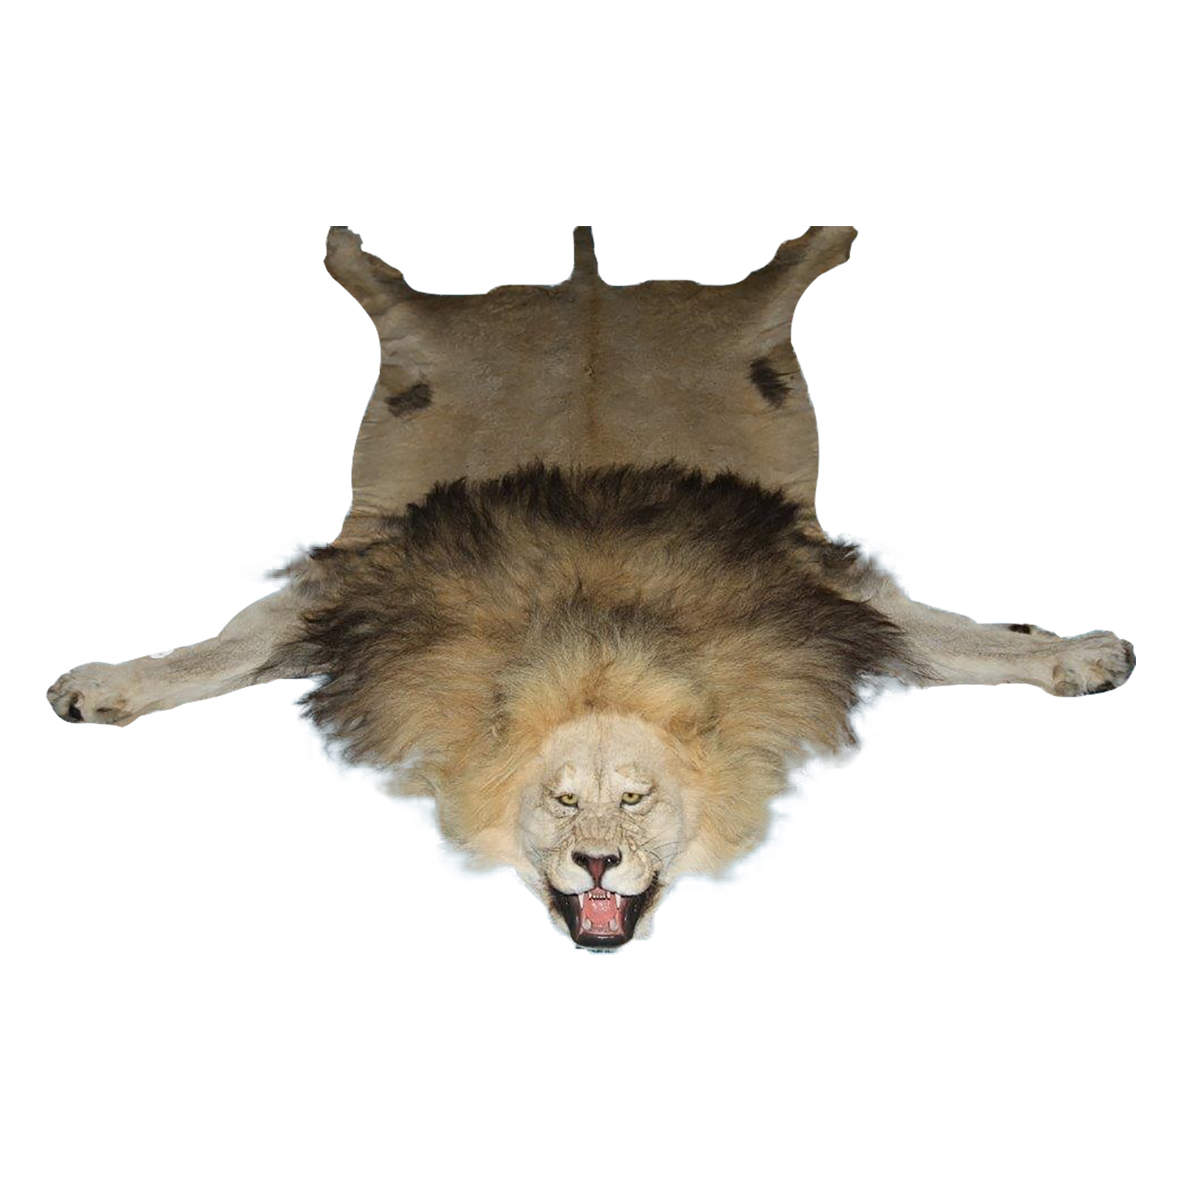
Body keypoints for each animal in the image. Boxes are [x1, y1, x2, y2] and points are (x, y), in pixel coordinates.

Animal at [47, 227, 1135, 948]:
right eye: (563, 801)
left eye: (635, 800)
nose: (598, 860)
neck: (598, 644)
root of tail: (588, 285)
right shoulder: (372, 583)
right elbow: (219, 648)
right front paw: (101, 685)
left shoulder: (805, 590)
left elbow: (964, 638)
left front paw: (1081, 654)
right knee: (399, 297)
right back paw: (346, 249)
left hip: (731, 332)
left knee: (770, 279)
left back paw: (825, 237)